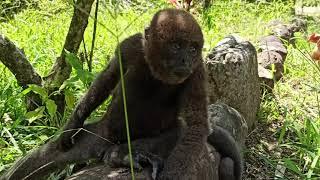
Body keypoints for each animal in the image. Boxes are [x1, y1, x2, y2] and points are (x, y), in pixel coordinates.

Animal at [0, 8, 240, 180]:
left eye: (192, 49)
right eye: (176, 46)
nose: (186, 60)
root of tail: (103, 135)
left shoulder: (198, 71)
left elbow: (196, 127)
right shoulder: (129, 45)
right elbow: (108, 78)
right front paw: (71, 126)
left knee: (177, 132)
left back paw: (120, 155)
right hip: (107, 129)